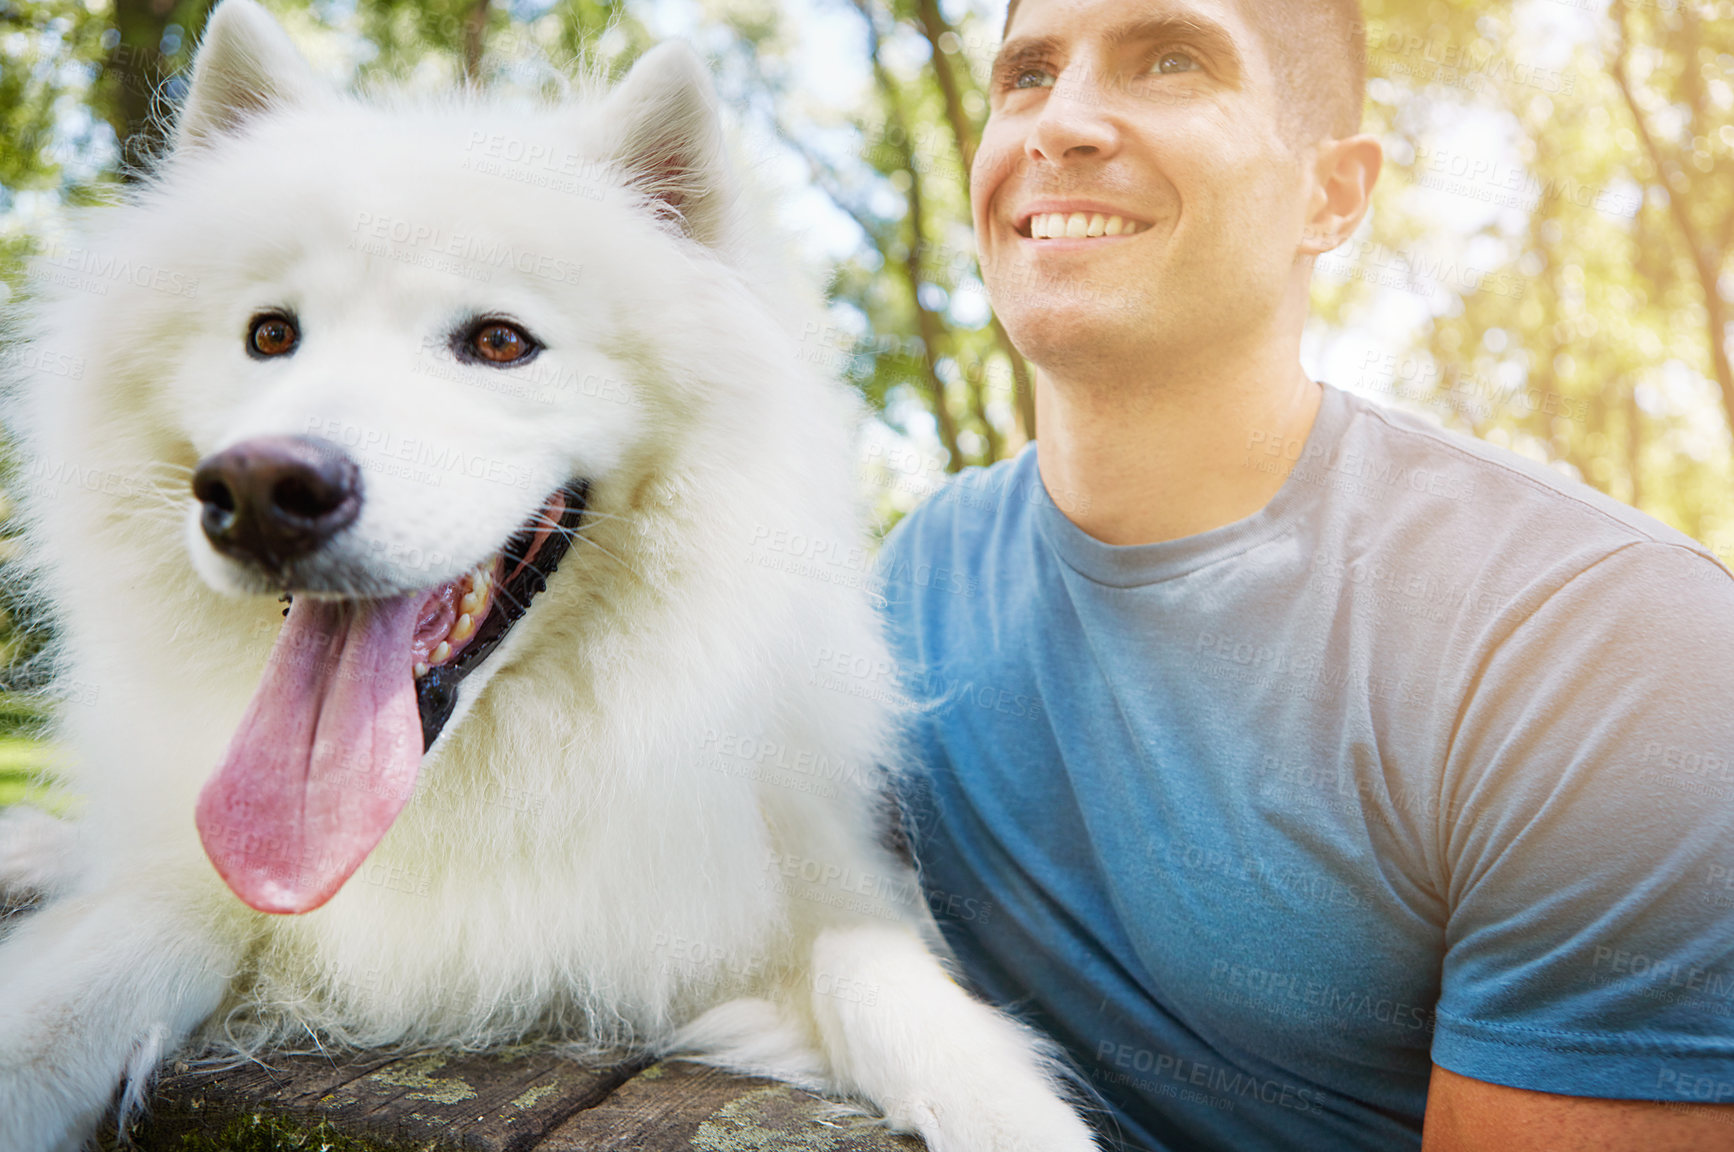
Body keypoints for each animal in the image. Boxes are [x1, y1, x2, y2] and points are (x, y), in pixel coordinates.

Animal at [0, 4, 1095, 1145]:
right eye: (270, 335)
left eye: (499, 343)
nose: (261, 489)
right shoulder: (205, 884)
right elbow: (98, 959)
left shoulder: (811, 885)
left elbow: (871, 966)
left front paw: (1002, 1104)